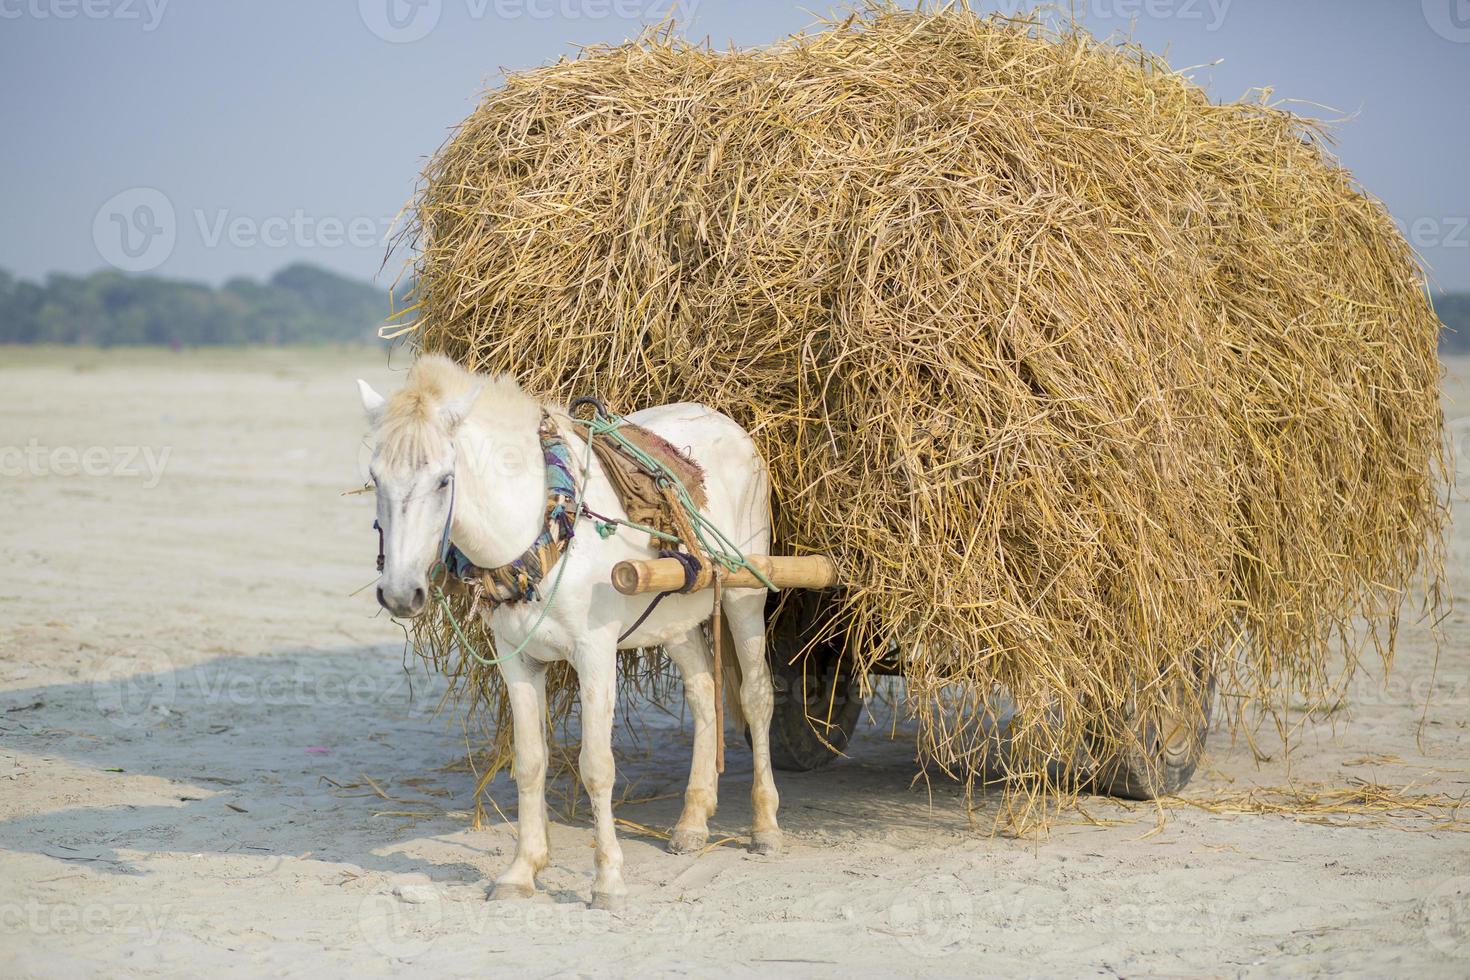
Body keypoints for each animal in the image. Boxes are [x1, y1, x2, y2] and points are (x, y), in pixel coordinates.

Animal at [357, 354, 782, 910]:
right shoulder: (516, 659)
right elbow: (531, 762)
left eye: (444, 481)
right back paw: (692, 821)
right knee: (703, 691)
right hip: (674, 617)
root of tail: (726, 422)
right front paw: (522, 870)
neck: (540, 526)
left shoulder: (594, 655)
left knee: (755, 697)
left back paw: (766, 824)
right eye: (375, 476)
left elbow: (597, 765)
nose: (400, 594)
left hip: (743, 595)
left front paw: (608, 880)